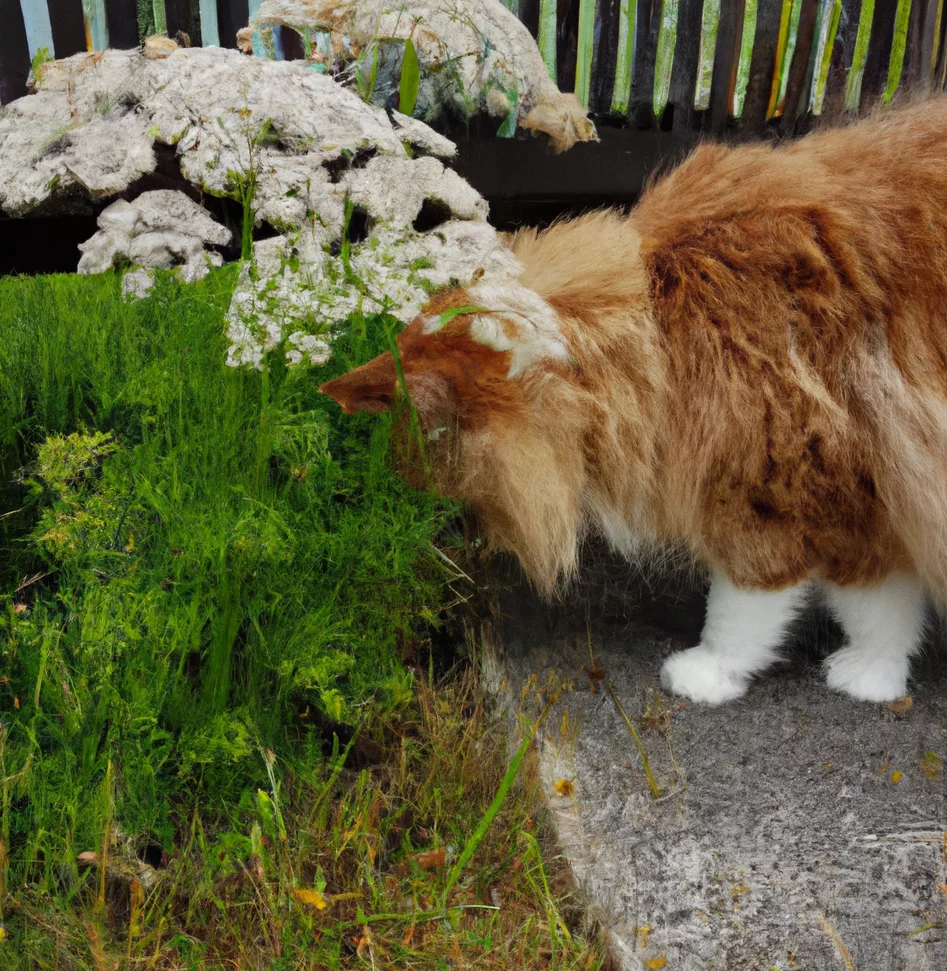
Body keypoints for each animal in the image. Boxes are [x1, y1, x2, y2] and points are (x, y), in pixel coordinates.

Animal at [320, 97, 947, 708]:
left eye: (431, 440)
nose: (411, 495)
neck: (664, 331)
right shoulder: (872, 494)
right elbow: (882, 603)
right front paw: (874, 677)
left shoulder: (775, 489)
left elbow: (747, 606)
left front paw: (710, 676)